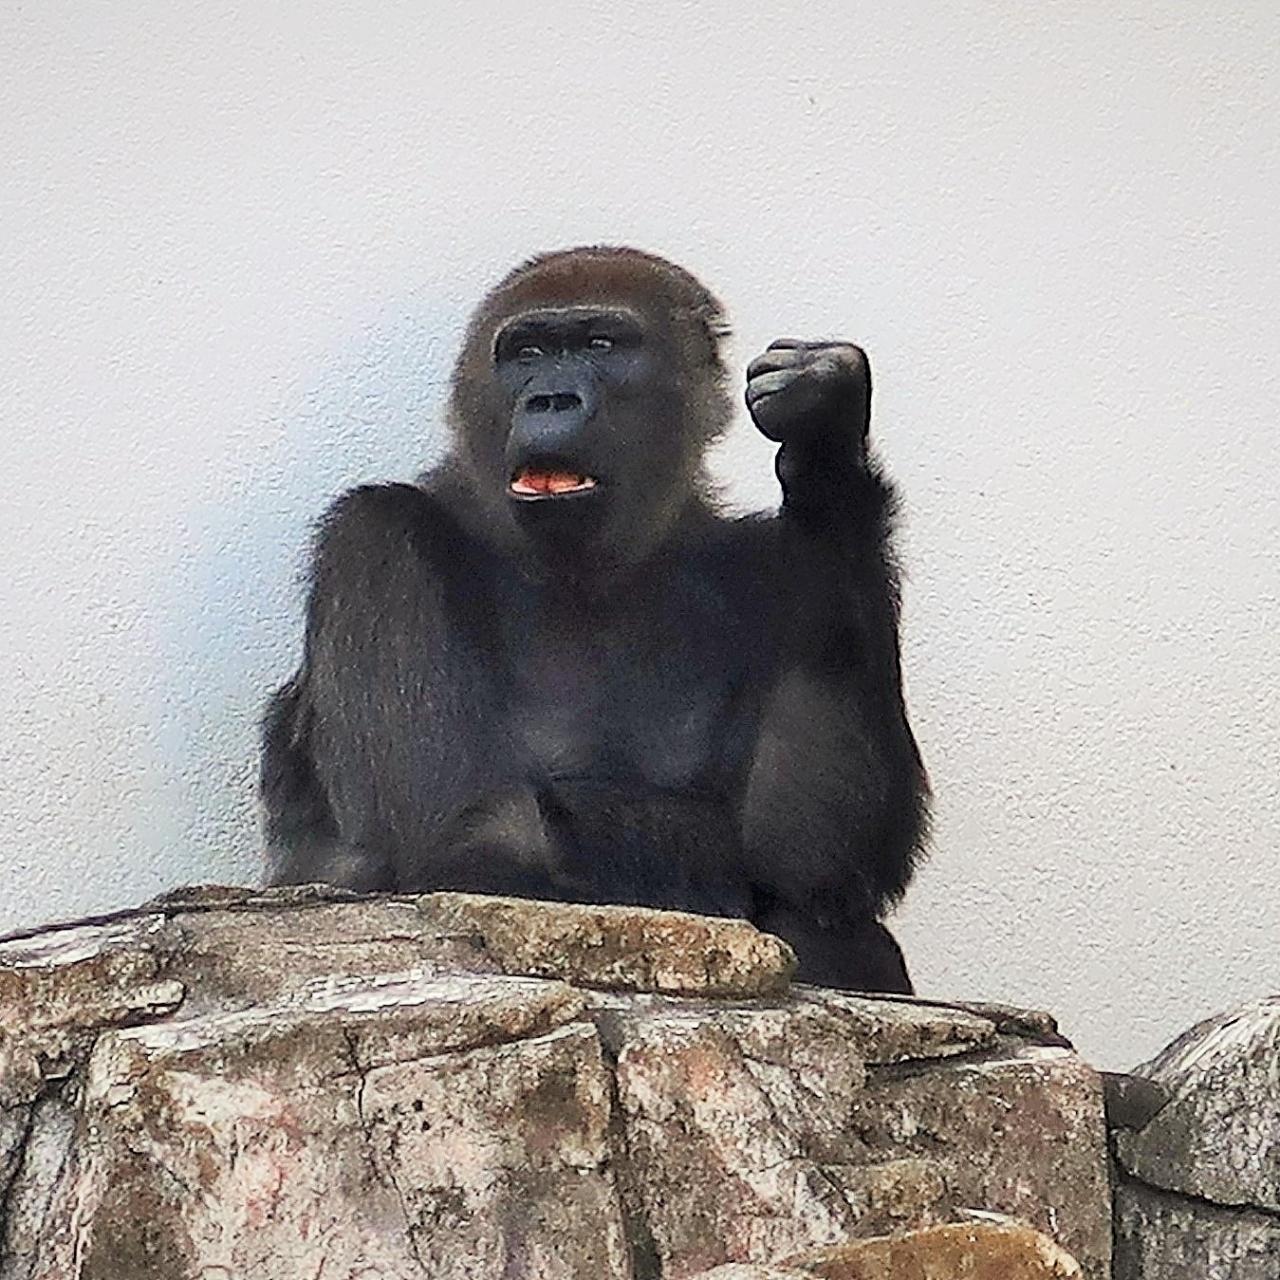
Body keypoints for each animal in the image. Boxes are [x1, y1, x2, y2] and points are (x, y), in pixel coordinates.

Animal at [264, 247, 931, 988]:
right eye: (526, 353)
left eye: (601, 345)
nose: (550, 399)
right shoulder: (374, 540)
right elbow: (461, 827)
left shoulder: (768, 566)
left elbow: (809, 855)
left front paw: (825, 449)